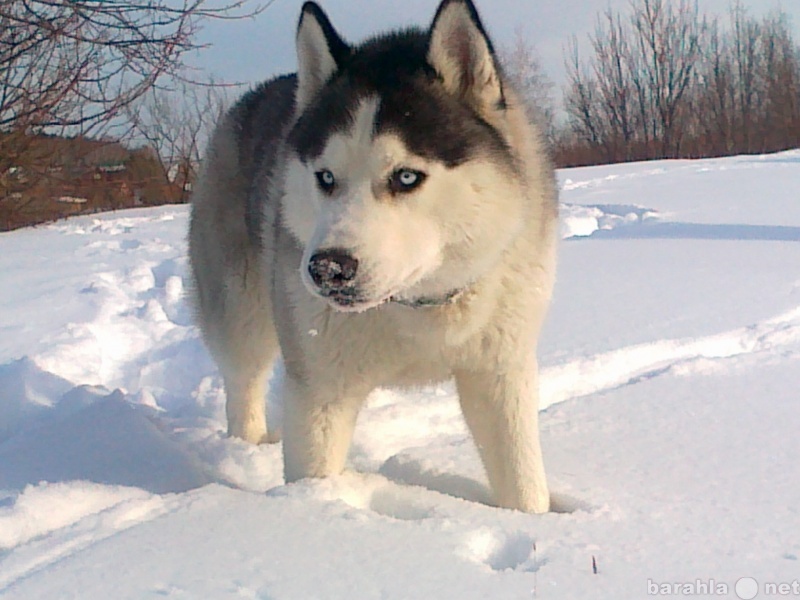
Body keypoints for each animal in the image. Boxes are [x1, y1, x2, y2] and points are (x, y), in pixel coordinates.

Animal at [191, 0, 560, 512]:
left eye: (406, 177)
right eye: (326, 177)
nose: (327, 269)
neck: (417, 306)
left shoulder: (499, 374)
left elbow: (524, 486)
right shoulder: (320, 390)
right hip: (240, 314)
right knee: (243, 382)